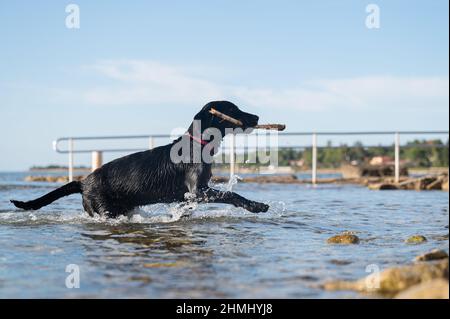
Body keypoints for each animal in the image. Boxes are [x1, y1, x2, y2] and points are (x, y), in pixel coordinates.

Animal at [11, 101, 270, 219]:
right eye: (233, 109)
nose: (257, 116)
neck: (197, 144)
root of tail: (83, 181)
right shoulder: (198, 190)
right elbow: (232, 195)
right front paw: (257, 206)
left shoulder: (189, 196)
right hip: (106, 210)